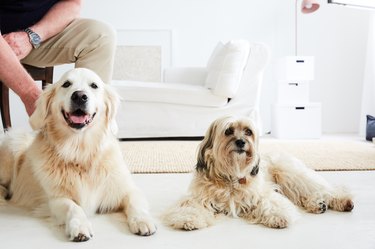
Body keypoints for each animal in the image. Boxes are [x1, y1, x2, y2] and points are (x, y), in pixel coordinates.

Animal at [0, 67, 156, 241]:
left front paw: (142, 220)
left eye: (94, 85)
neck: (80, 151)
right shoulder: (55, 199)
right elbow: (73, 207)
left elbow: (135, 202)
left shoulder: (125, 189)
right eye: (66, 84)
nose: (80, 96)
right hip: (13, 144)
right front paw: (80, 226)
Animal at [165, 115, 356, 231]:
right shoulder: (197, 198)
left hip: (292, 176)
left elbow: (271, 203)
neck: (232, 176)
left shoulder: (264, 193)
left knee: (324, 189)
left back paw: (340, 201)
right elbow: (189, 207)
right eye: (228, 131)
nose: (241, 142)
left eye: (248, 131)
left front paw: (279, 217)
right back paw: (318, 204)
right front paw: (189, 219)